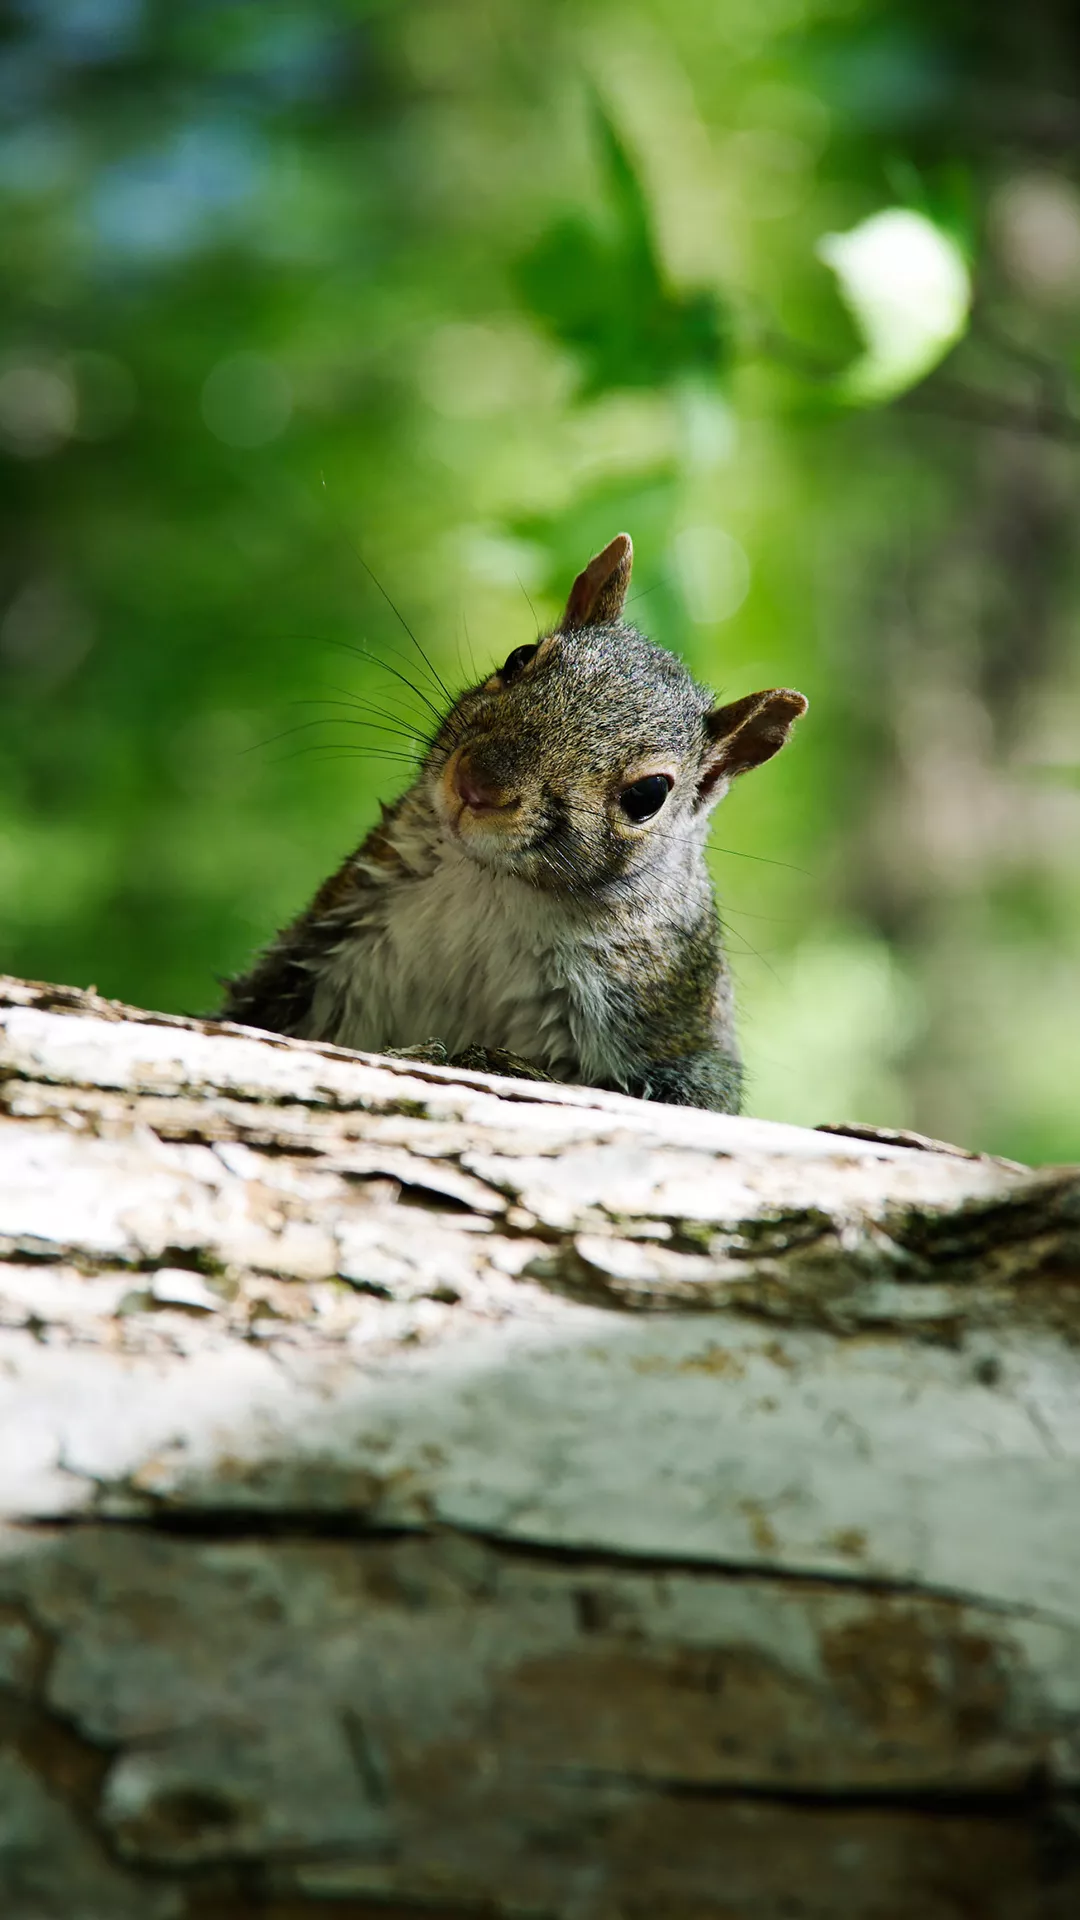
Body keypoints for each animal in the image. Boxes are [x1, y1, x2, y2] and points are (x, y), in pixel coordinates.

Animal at [220, 533, 807, 1121]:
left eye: (649, 795)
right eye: (520, 657)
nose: (477, 783)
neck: (491, 885)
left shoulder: (677, 1013)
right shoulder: (321, 939)